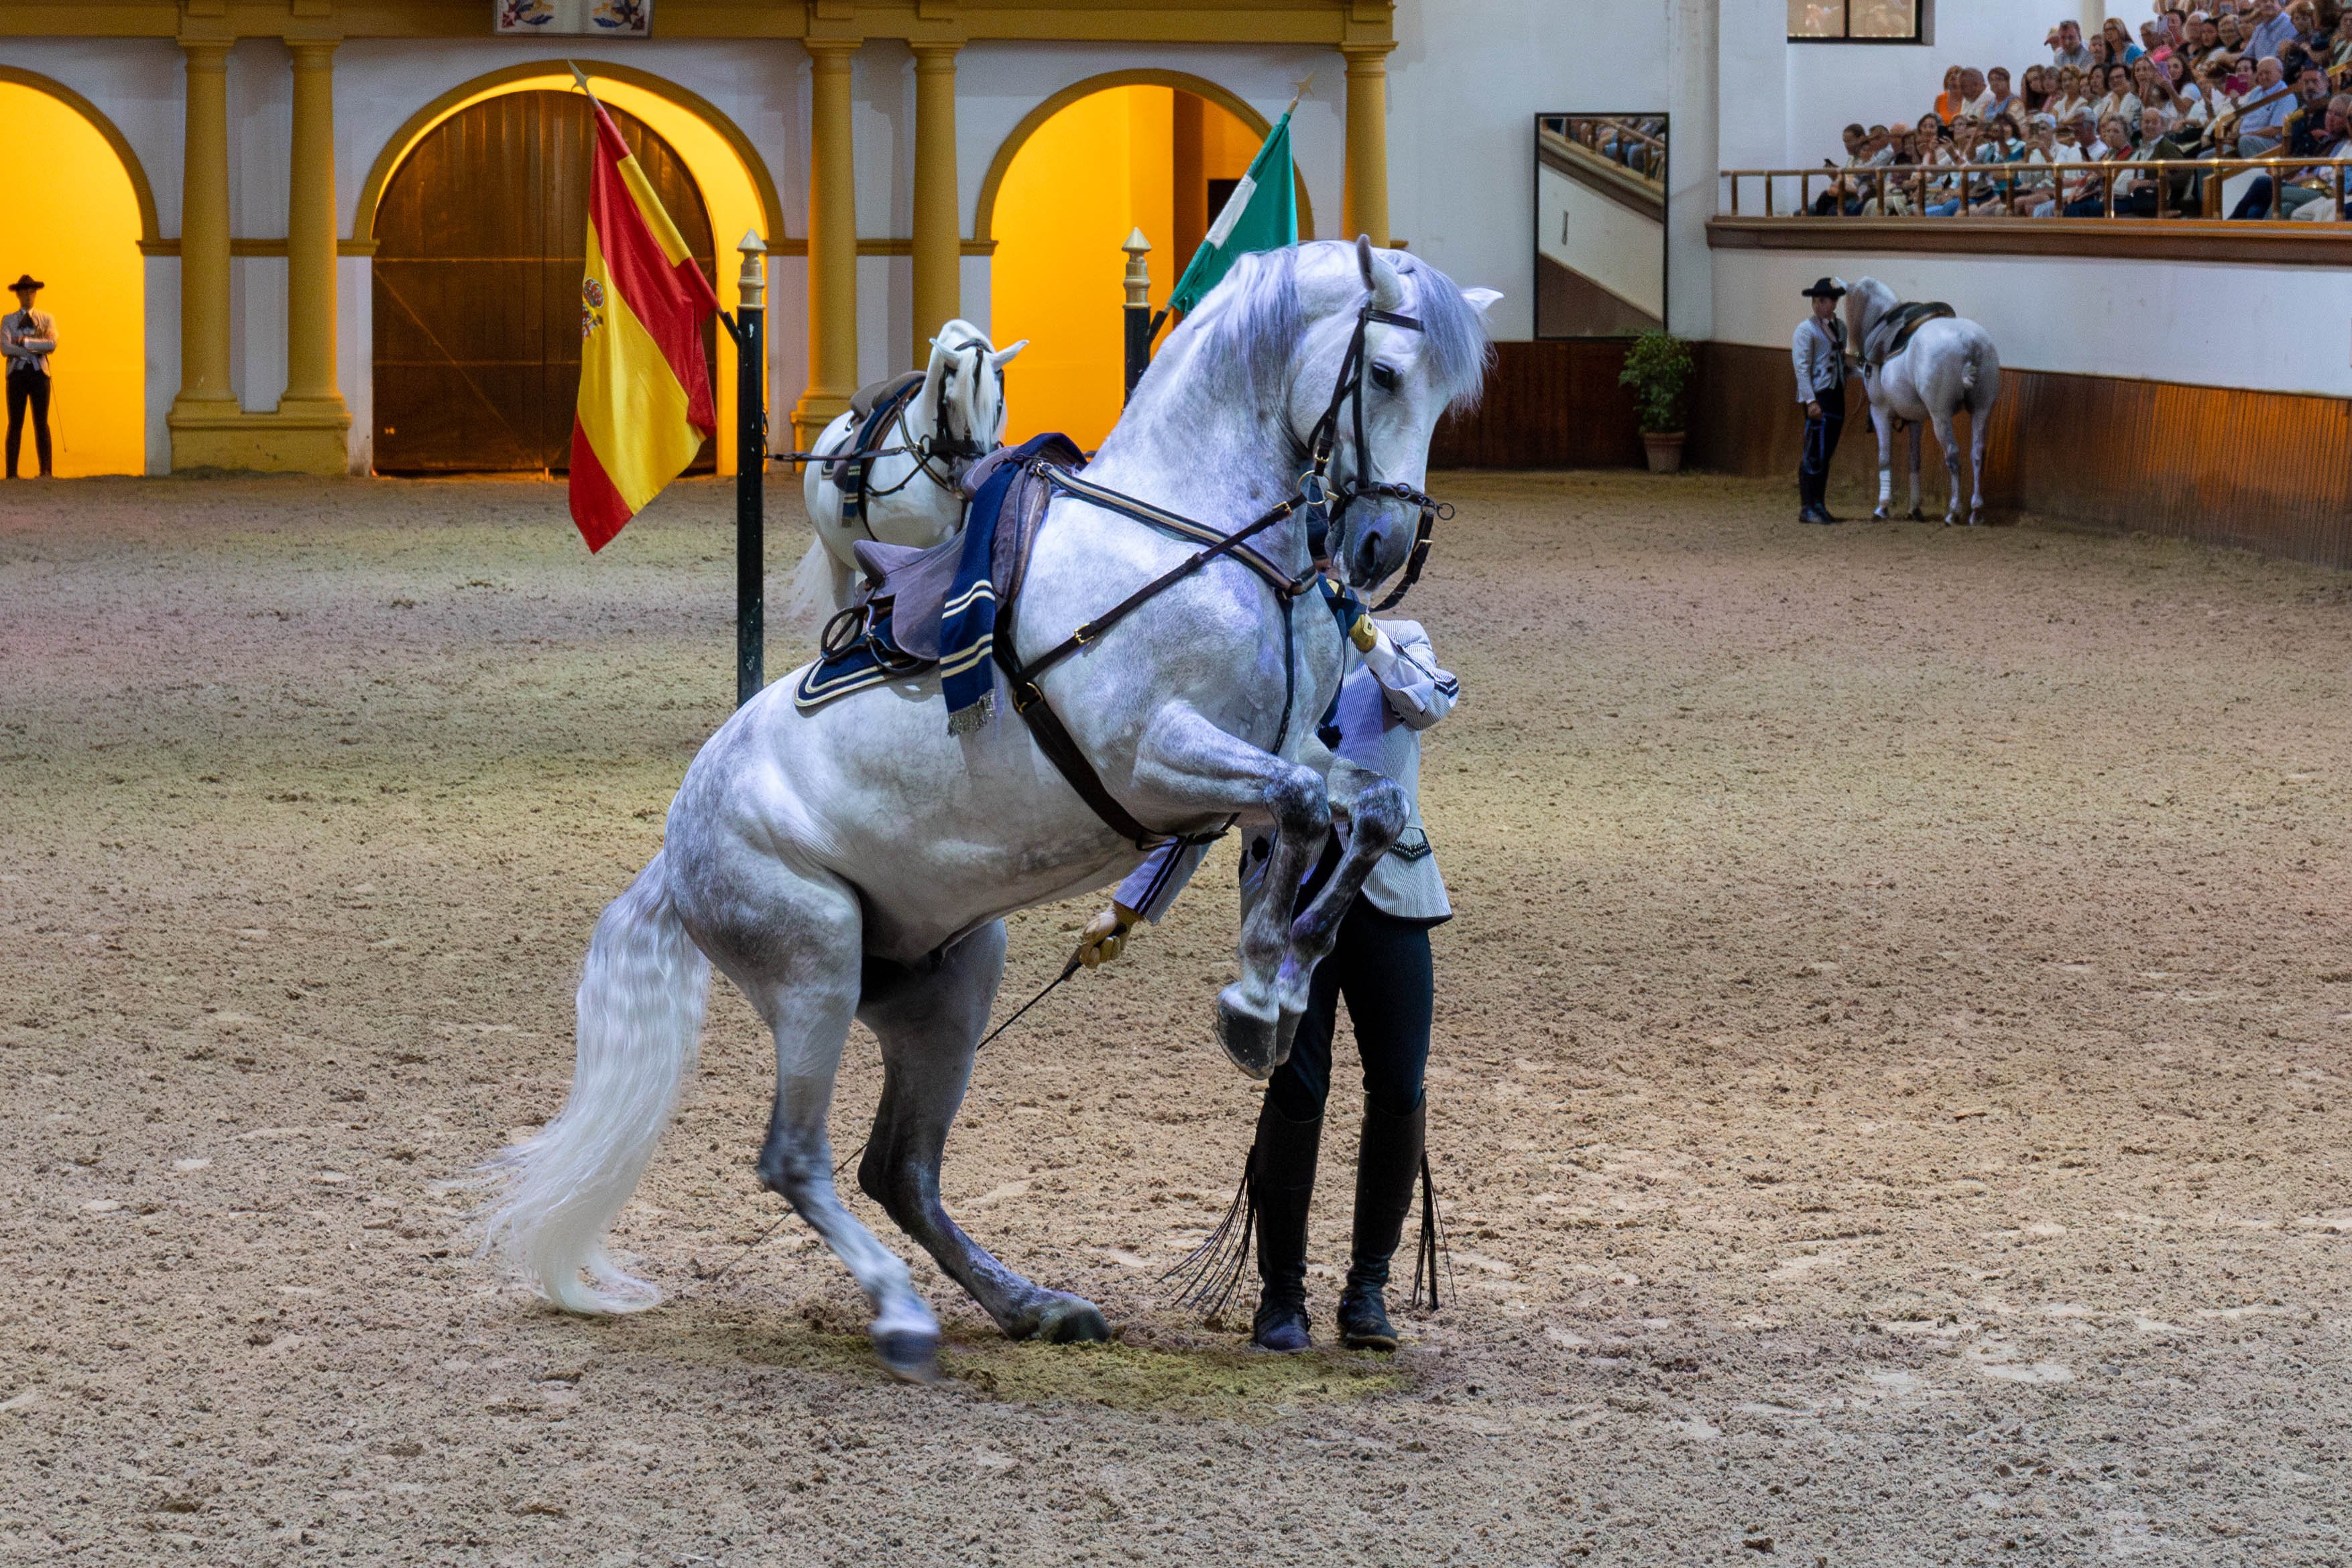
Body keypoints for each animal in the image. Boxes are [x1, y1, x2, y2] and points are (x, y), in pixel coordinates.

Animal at [484, 239, 1496, 1382]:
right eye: (1385, 375)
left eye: (1449, 397)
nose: (1381, 549)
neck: (1196, 539)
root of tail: (674, 851)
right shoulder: (1158, 755)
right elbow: (1309, 807)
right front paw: (1256, 997)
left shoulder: (1269, 760)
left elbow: (1364, 809)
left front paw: (1283, 982)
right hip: (814, 967)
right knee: (797, 1160)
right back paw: (902, 1313)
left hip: (952, 983)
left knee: (899, 1170)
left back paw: (1034, 1303)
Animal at [1834, 276, 2003, 526]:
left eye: (1849, 307)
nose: (1848, 358)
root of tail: (1970, 343)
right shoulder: (1915, 420)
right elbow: (1915, 461)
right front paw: (1914, 509)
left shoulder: (1880, 412)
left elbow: (1884, 457)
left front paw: (1882, 508)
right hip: (1981, 409)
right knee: (1977, 453)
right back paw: (1975, 511)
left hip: (1941, 414)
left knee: (1953, 454)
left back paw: (1953, 512)